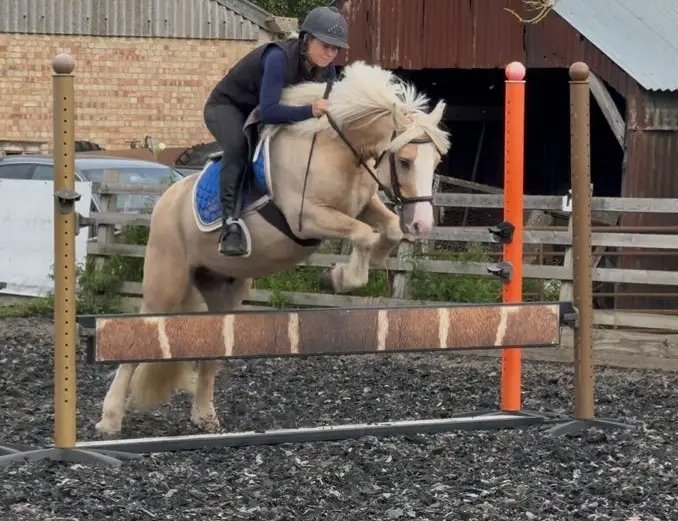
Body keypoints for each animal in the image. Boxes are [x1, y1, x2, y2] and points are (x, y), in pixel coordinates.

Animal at [95, 61, 451, 437]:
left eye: (436, 162)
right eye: (406, 161)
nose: (422, 226)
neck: (340, 151)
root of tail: (166, 198)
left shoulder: (363, 204)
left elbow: (388, 230)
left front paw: (370, 262)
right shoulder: (307, 218)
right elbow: (364, 235)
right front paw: (339, 278)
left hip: (224, 289)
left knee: (211, 348)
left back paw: (205, 417)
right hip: (166, 284)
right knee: (140, 336)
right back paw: (110, 419)